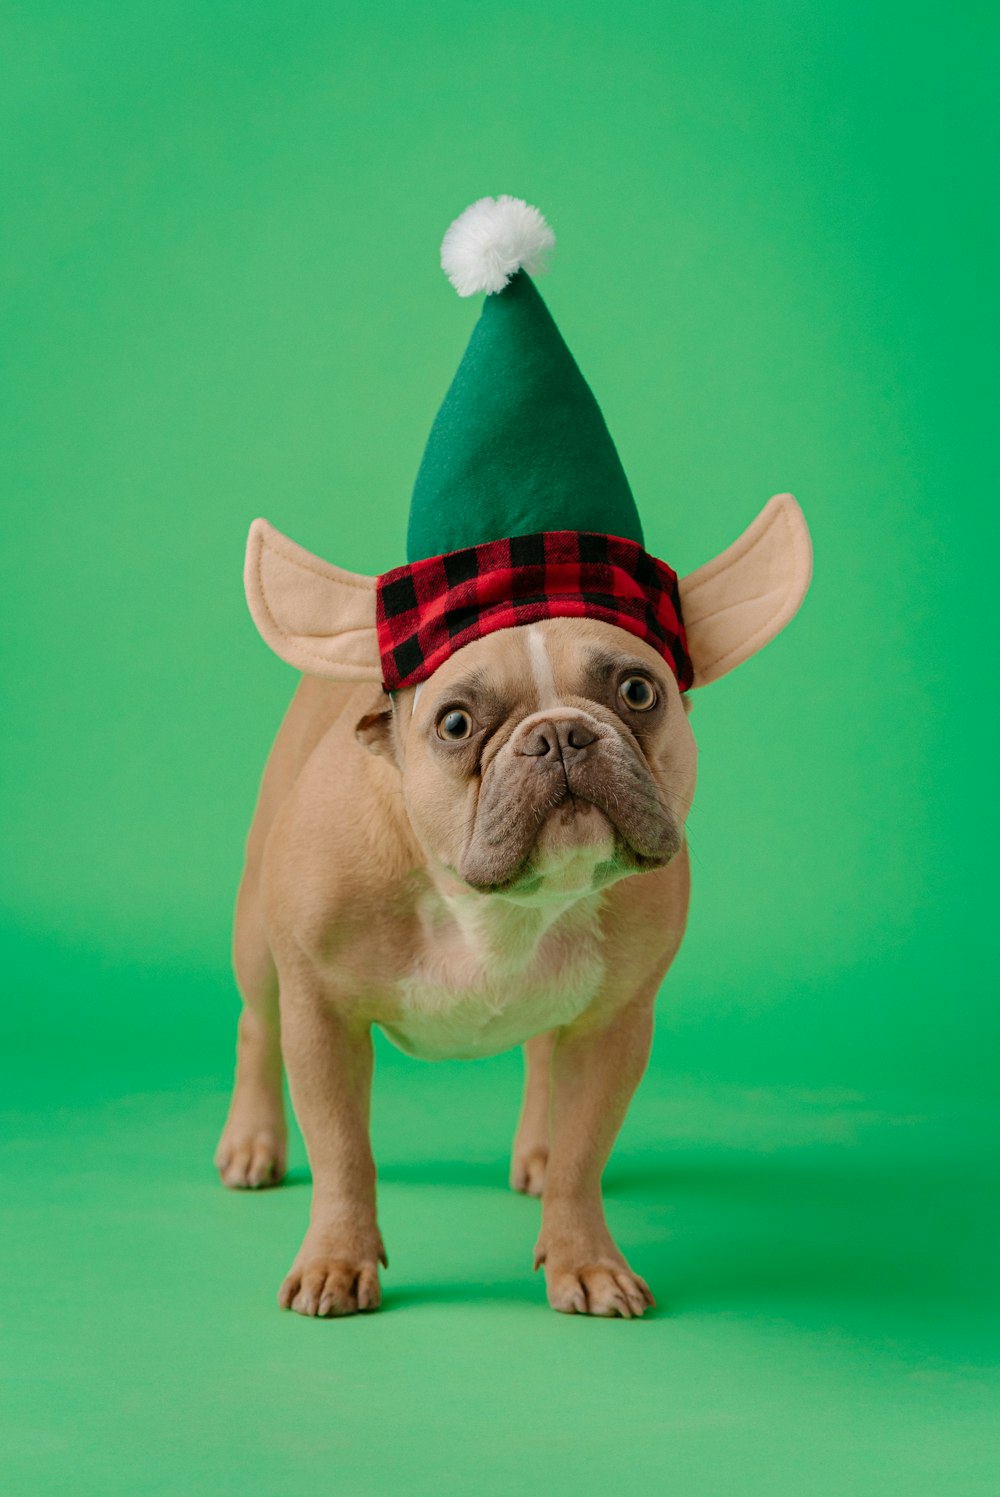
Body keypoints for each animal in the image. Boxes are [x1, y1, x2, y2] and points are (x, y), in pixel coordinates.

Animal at [217, 497, 814, 1317]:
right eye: (456, 724)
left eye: (638, 692)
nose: (560, 732)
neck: (496, 904)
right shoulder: (322, 1014)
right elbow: (341, 1152)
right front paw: (336, 1259)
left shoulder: (612, 1026)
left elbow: (582, 1155)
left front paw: (585, 1260)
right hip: (258, 938)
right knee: (257, 1024)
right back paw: (252, 1144)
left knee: (541, 1060)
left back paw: (537, 1149)